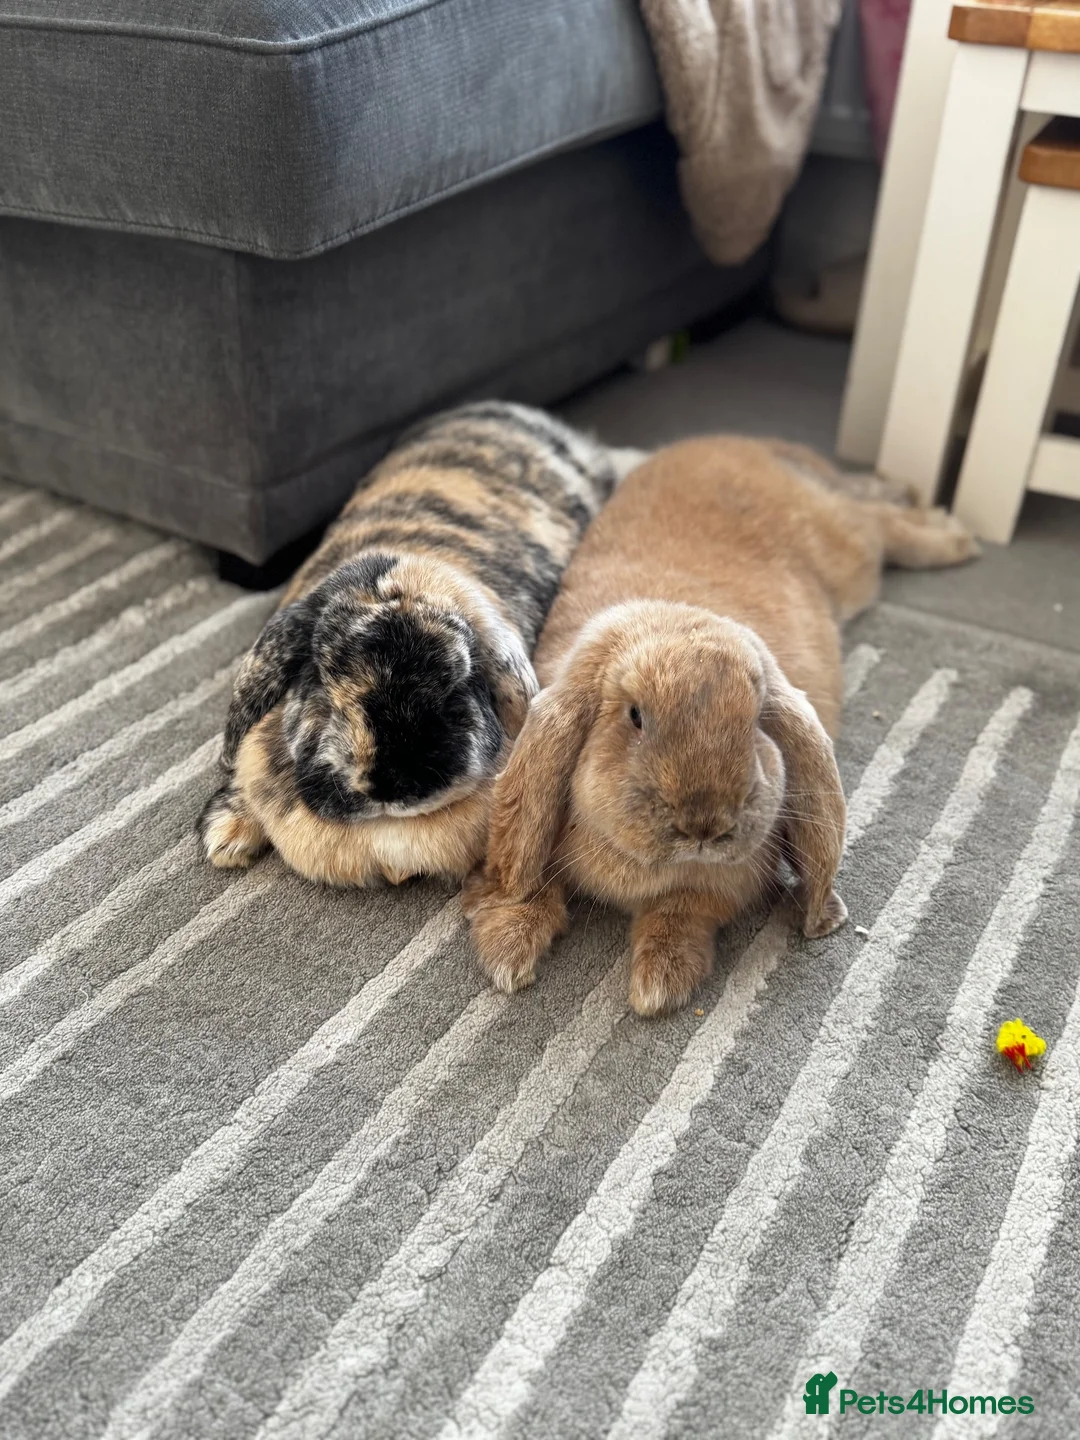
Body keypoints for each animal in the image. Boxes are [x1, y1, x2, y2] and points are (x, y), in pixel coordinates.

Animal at [464, 434, 979, 1015]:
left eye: (756, 720)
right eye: (635, 716)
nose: (704, 824)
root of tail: (735, 441)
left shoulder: (721, 887)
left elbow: (681, 915)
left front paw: (659, 984)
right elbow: (530, 884)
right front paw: (507, 951)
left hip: (846, 546)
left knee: (882, 522)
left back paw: (954, 538)